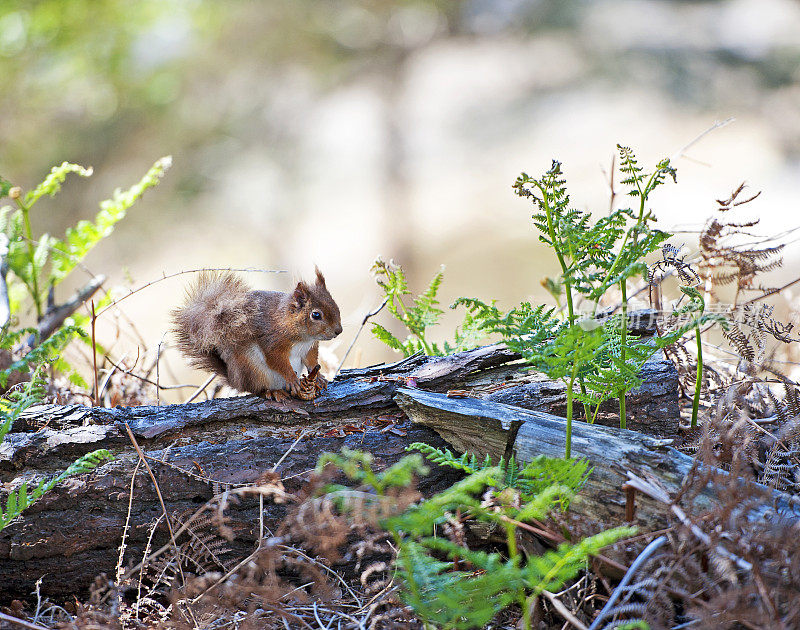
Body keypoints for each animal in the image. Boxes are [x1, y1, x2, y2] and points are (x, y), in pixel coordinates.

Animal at [172, 270, 340, 400]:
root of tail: (235, 380)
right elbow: (277, 361)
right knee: (258, 389)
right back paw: (273, 392)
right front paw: (292, 378)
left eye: (335, 305)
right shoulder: (272, 342)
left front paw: (319, 377)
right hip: (253, 370)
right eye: (316, 315)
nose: (339, 331)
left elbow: (311, 361)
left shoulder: (310, 348)